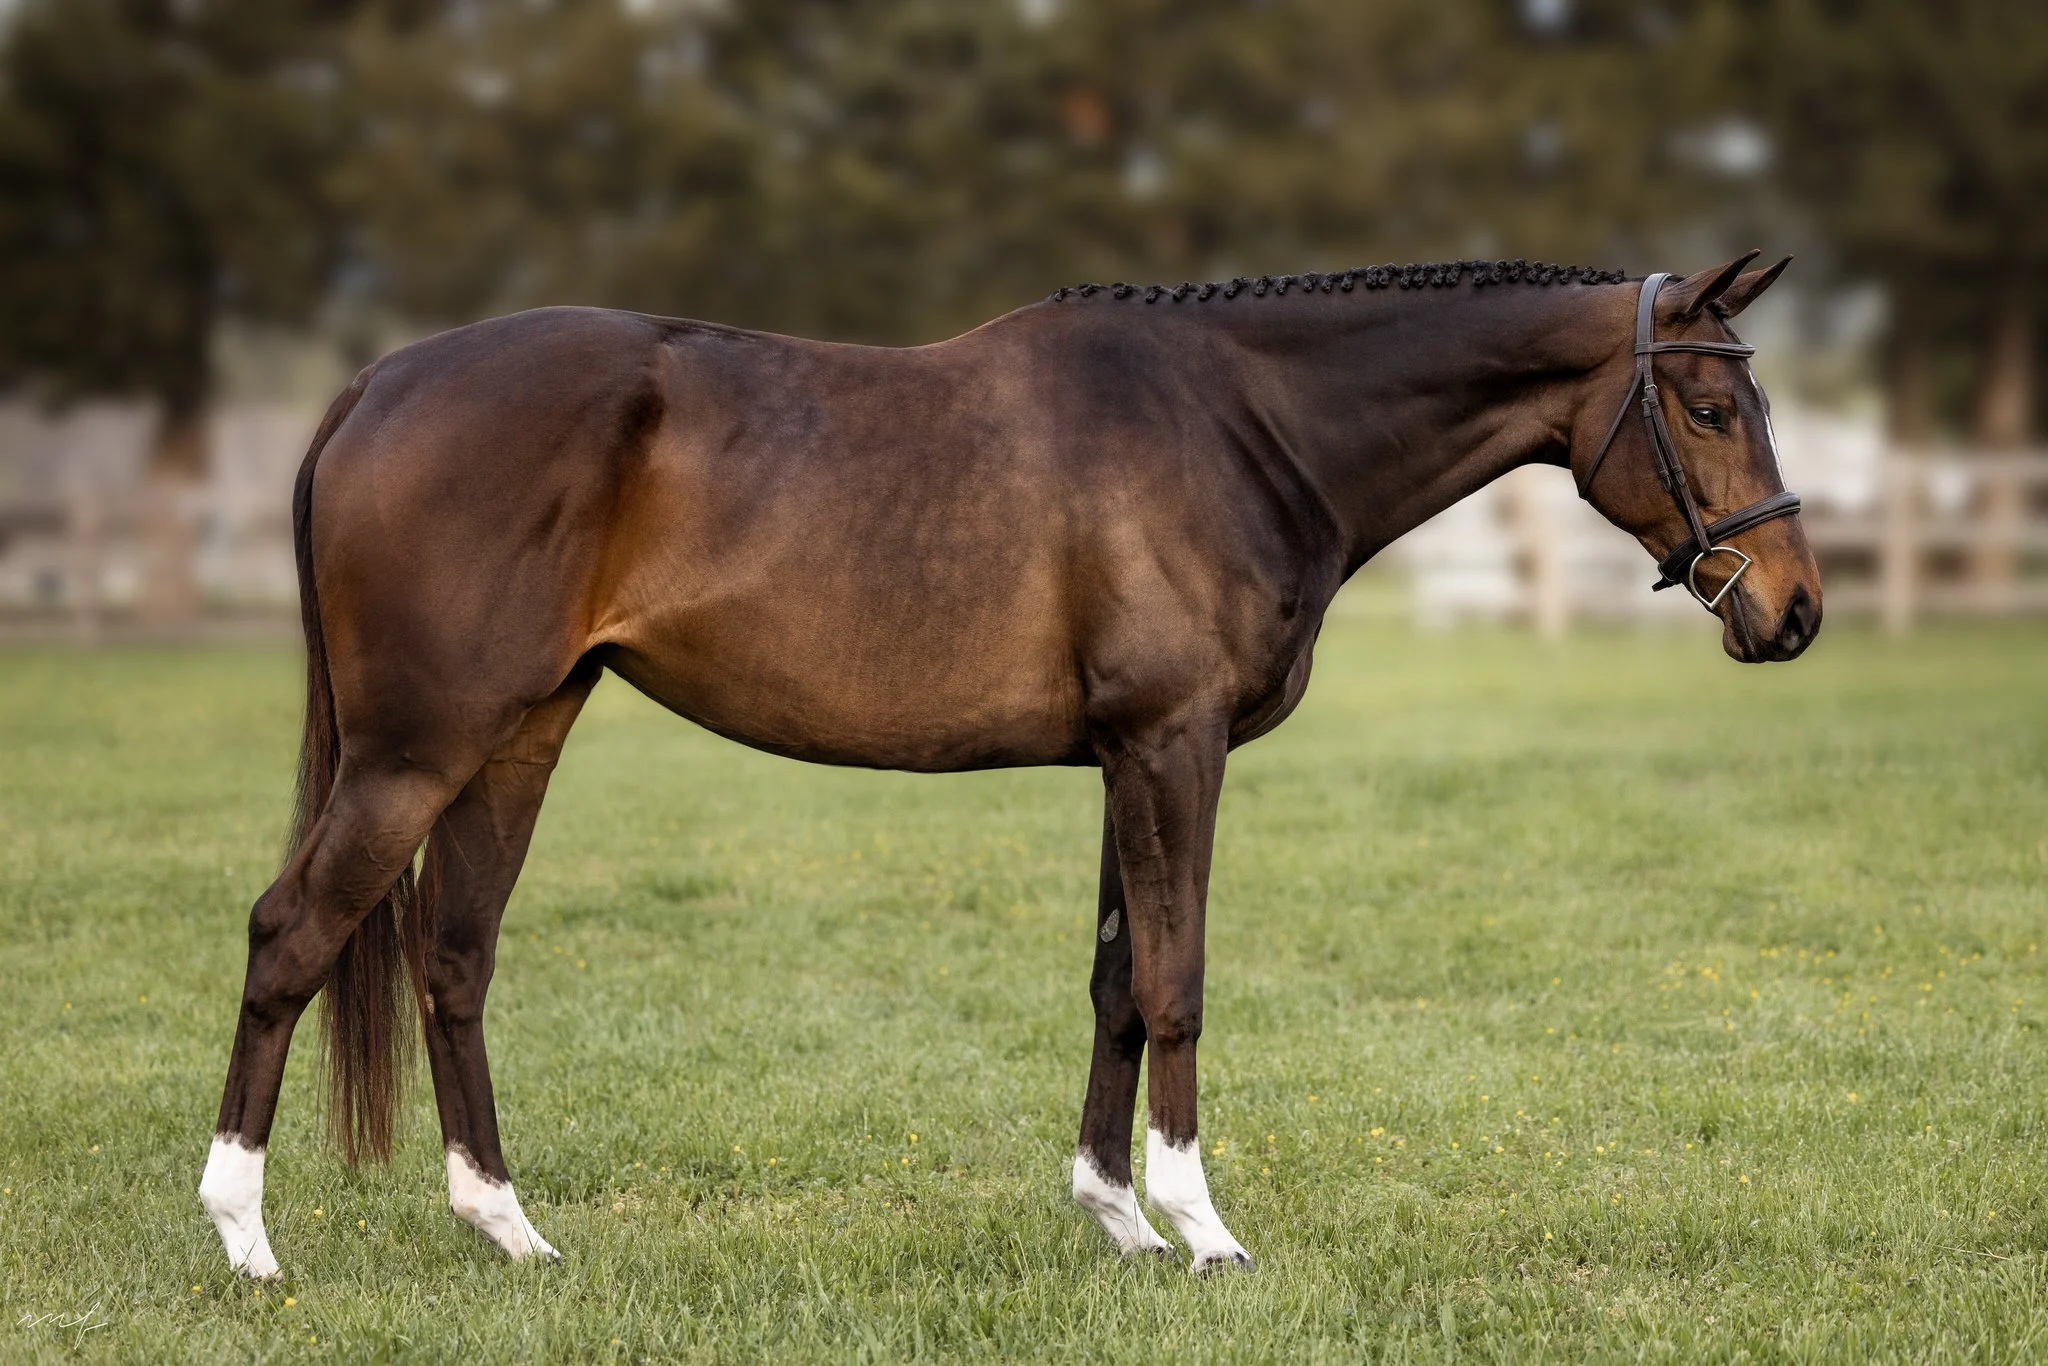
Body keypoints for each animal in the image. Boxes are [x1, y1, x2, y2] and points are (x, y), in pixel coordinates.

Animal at [199, 252, 1819, 1278]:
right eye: (1709, 406)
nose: (1794, 612)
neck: (1242, 420)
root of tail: (371, 387)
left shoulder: (1126, 757)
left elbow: (1116, 983)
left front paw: (1116, 1219)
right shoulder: (1172, 747)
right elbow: (1177, 980)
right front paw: (1202, 1227)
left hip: (519, 732)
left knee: (451, 955)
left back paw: (510, 1231)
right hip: (415, 749)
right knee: (293, 934)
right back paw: (246, 1240)